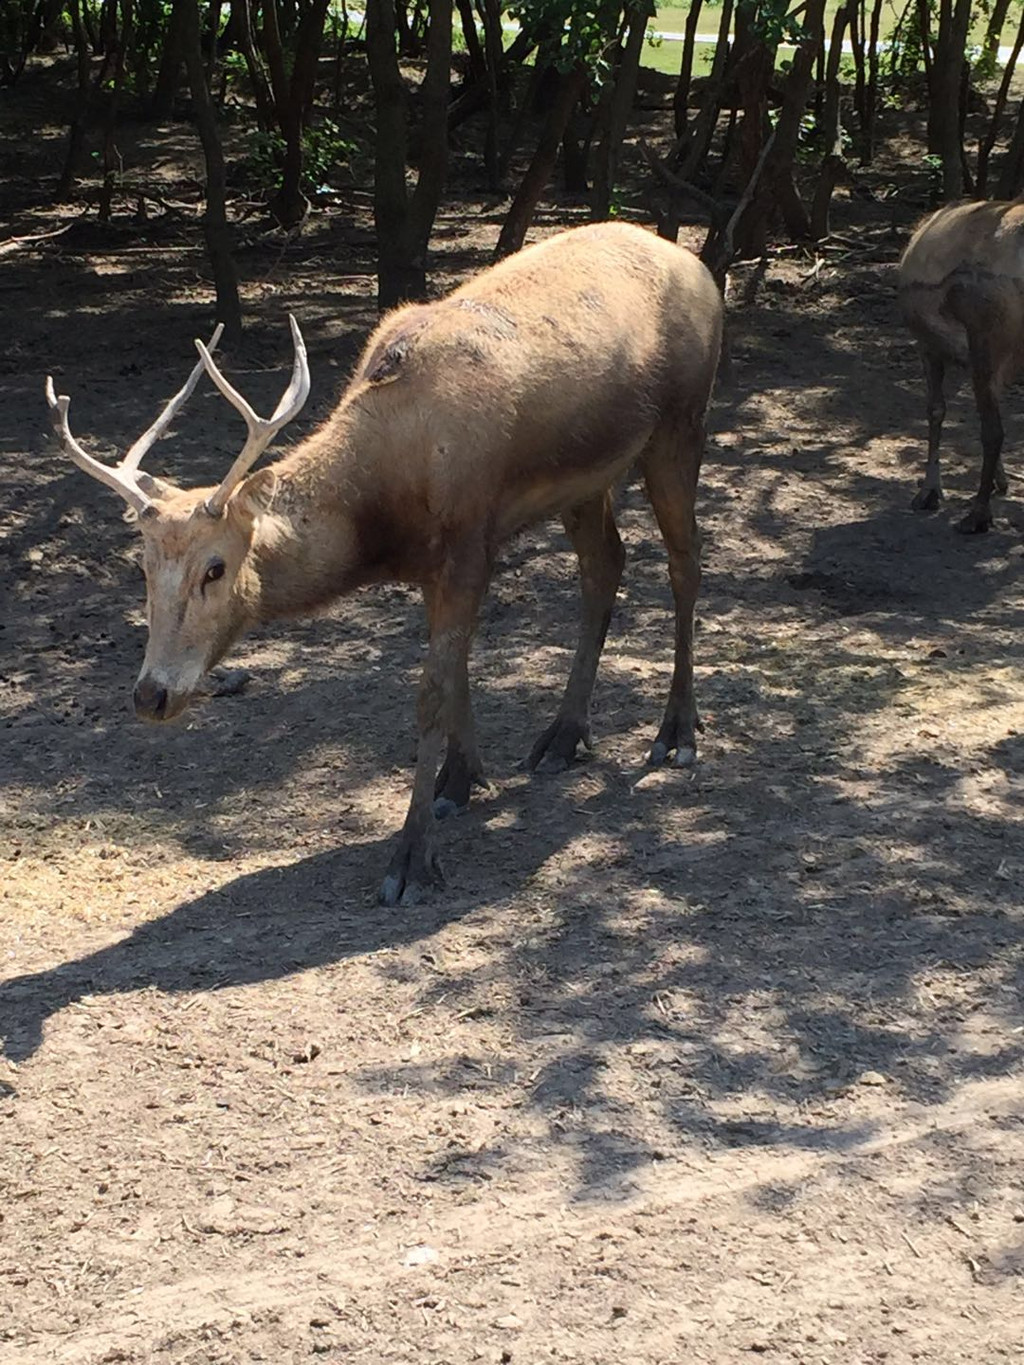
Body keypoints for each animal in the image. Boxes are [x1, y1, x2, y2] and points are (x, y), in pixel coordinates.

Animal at [46, 221, 720, 906]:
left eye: (215, 568)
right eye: (142, 567)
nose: (151, 694)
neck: (385, 511)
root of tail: (697, 267)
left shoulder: (470, 542)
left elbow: (431, 692)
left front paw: (412, 859)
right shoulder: (433, 563)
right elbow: (458, 675)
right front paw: (461, 780)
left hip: (682, 420)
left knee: (685, 562)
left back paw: (676, 736)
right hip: (588, 480)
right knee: (605, 564)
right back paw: (562, 737)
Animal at [901, 202, 1021, 532]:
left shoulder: (929, 346)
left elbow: (935, 410)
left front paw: (929, 492)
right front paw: (1001, 481)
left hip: (983, 335)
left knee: (992, 431)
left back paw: (977, 516)